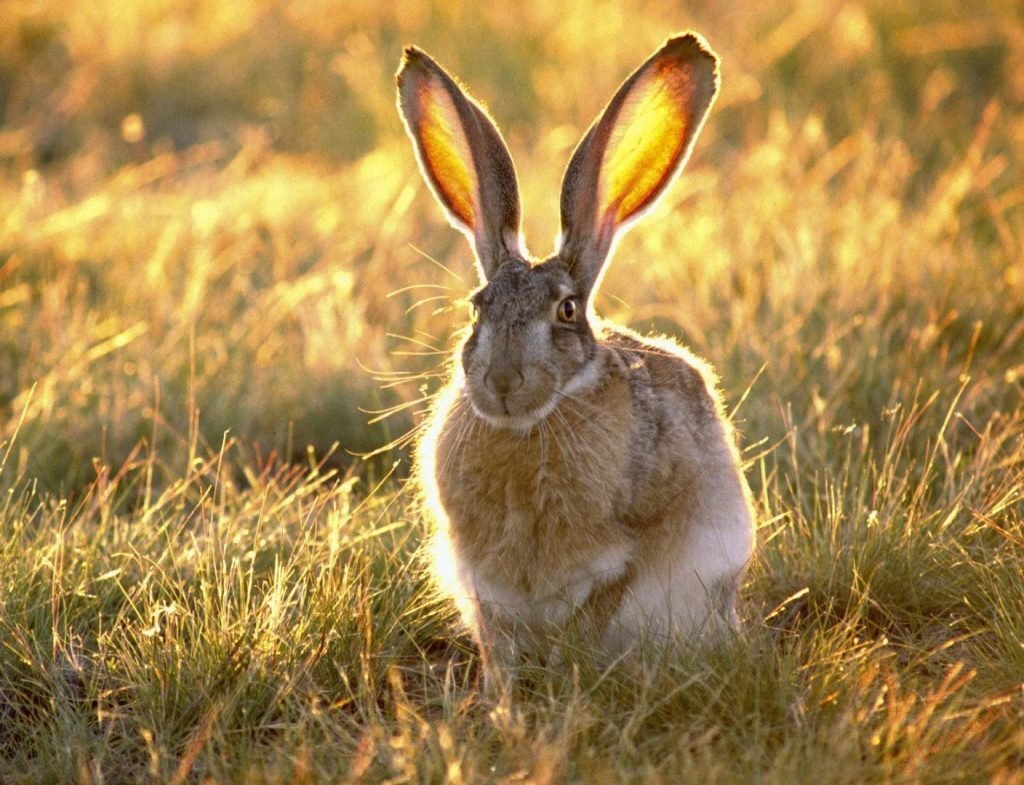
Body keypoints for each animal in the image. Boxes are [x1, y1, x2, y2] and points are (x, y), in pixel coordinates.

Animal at [396, 32, 755, 683]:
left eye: (566, 311)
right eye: (476, 309)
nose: (503, 380)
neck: (529, 428)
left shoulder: (625, 558)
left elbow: (595, 615)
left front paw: (571, 677)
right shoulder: (481, 581)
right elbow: (498, 639)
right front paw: (501, 694)